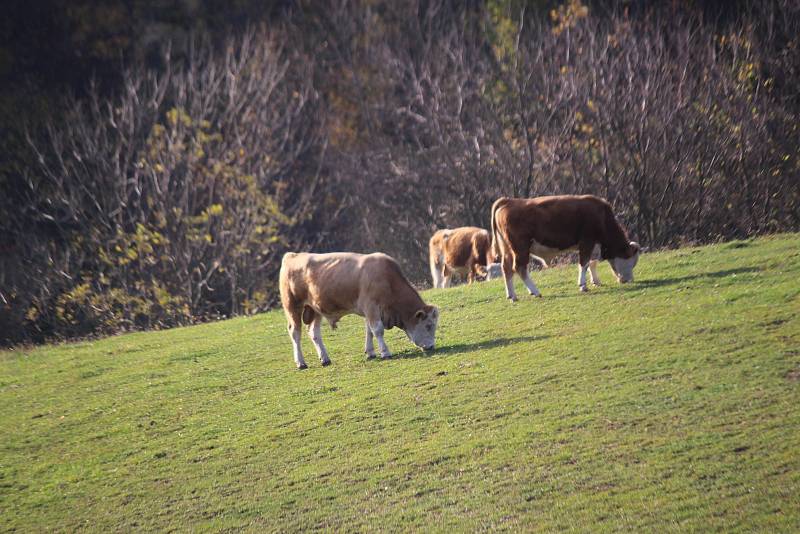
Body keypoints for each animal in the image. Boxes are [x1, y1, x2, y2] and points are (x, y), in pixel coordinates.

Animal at [280, 253, 444, 370]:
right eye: (429, 325)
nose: (432, 346)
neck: (389, 281)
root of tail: (292, 255)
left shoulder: (370, 311)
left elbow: (369, 331)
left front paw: (370, 352)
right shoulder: (371, 307)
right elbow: (377, 330)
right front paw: (385, 353)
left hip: (315, 310)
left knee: (314, 333)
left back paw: (325, 359)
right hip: (292, 307)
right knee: (295, 333)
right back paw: (301, 363)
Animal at [490, 195, 640, 302]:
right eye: (630, 260)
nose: (629, 280)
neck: (601, 215)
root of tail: (508, 201)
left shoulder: (593, 245)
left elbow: (592, 263)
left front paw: (595, 281)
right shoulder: (587, 241)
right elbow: (584, 263)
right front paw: (583, 285)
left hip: (508, 250)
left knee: (506, 268)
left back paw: (512, 296)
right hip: (520, 248)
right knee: (519, 267)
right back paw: (535, 291)